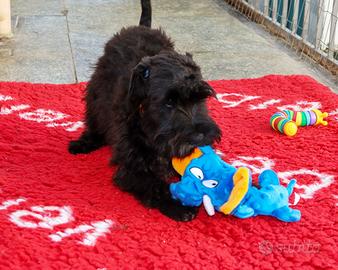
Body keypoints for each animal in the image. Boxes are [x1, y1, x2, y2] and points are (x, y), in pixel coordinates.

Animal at [69, 0, 222, 221]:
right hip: (96, 92)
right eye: (169, 102)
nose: (200, 136)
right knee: (94, 120)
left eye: (200, 98)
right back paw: (83, 143)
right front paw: (178, 206)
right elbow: (155, 185)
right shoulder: (132, 167)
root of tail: (141, 26)